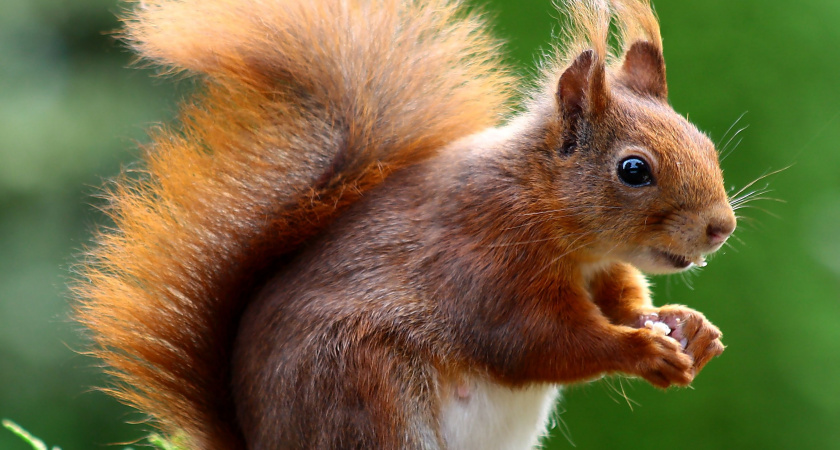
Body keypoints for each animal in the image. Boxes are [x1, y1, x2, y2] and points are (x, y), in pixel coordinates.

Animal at [77, 0, 736, 448]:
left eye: (704, 142)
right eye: (634, 170)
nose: (721, 227)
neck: (548, 212)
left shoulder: (601, 269)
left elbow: (623, 300)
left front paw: (687, 326)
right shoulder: (485, 262)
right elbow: (537, 342)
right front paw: (639, 349)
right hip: (364, 394)